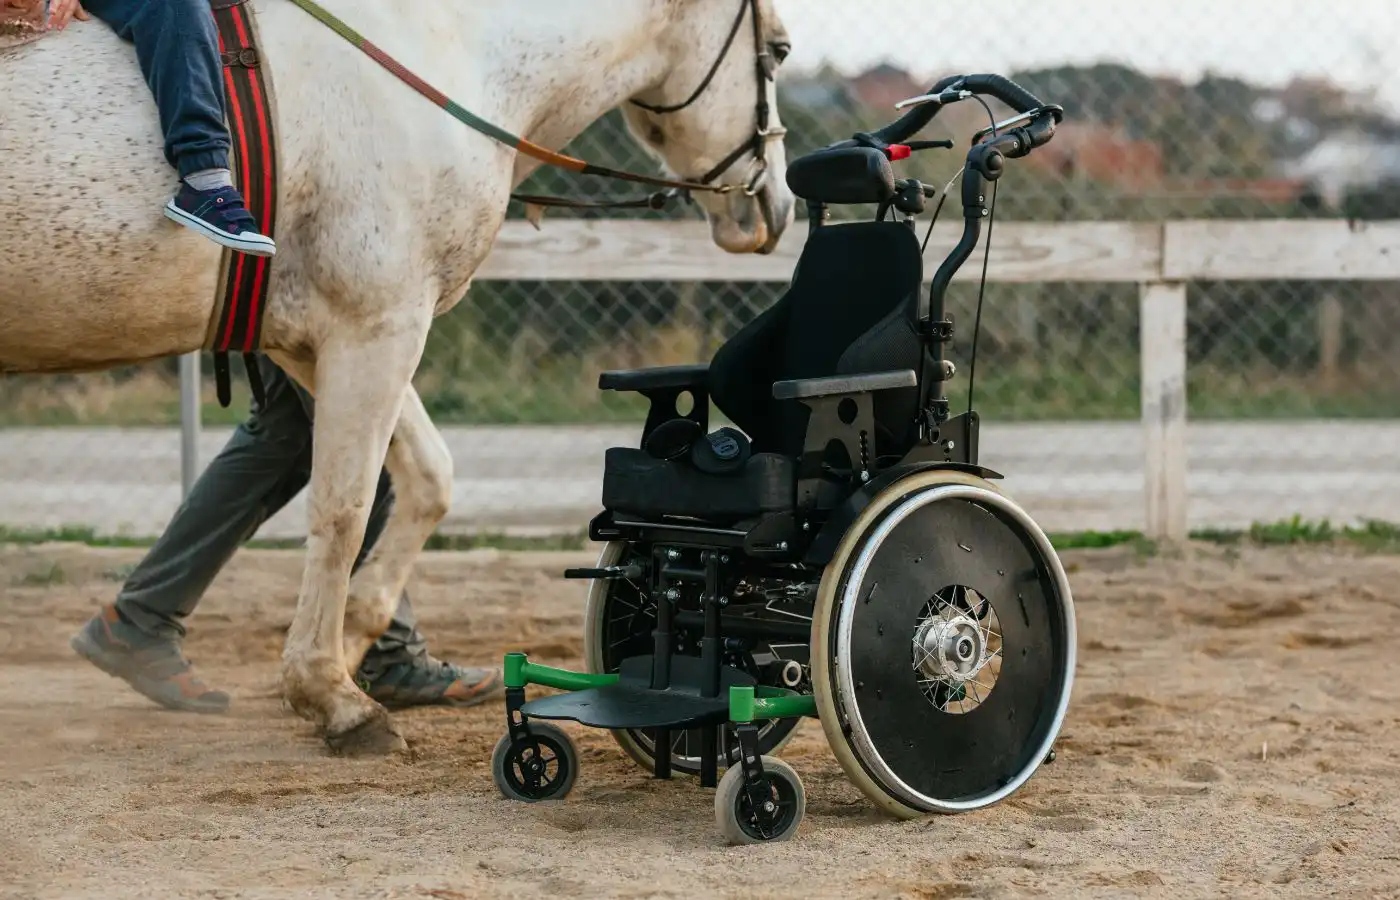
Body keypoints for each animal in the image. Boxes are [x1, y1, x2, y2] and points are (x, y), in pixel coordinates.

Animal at [0, 0, 795, 755]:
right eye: (782, 49)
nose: (778, 207)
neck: (440, 55)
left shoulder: (322, 340)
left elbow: (425, 478)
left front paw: (356, 640)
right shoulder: (378, 325)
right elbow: (345, 509)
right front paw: (334, 695)